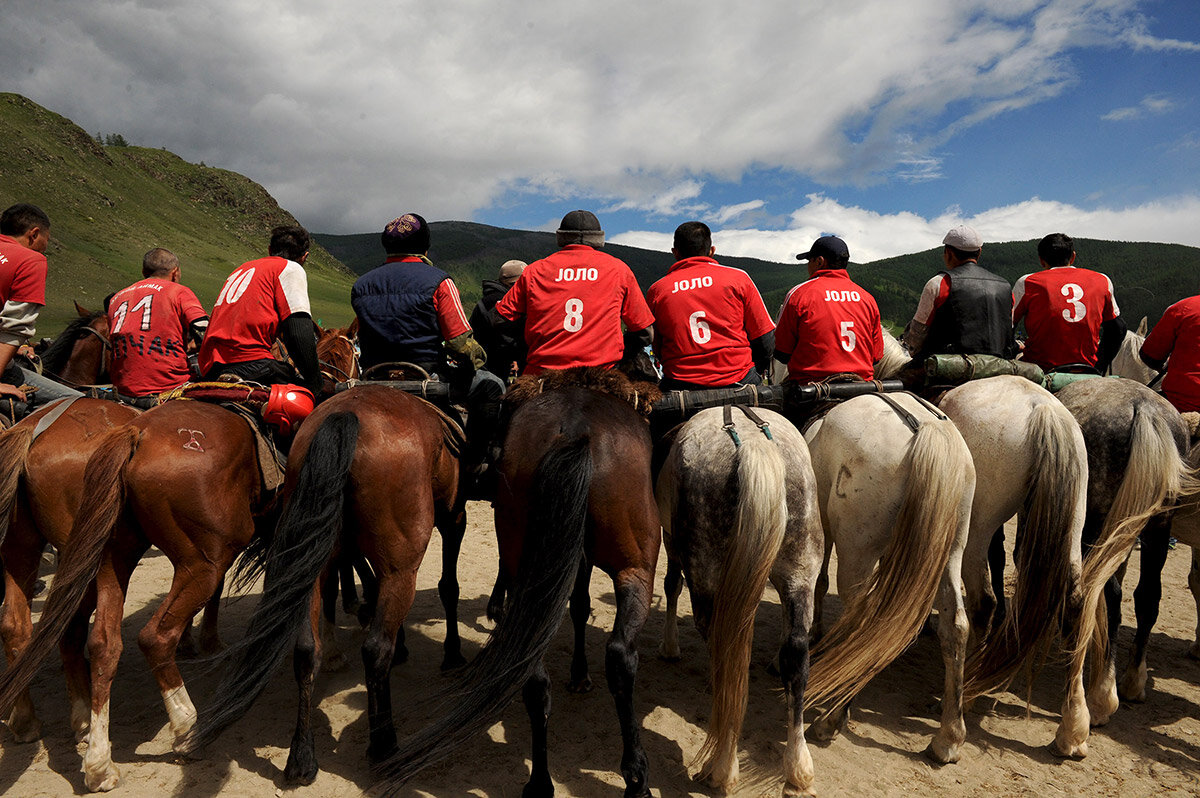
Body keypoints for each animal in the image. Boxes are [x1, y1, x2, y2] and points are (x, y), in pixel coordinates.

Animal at [183, 384, 468, 782]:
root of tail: (346, 415)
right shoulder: (454, 518)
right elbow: (448, 587)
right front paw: (452, 653)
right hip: (402, 566)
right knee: (375, 648)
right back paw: (383, 746)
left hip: (314, 561)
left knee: (305, 649)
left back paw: (301, 757)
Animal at [374, 369, 662, 796]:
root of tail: (575, 430)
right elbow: (580, 606)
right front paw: (580, 675)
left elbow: (577, 606)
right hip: (637, 568)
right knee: (621, 656)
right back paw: (636, 776)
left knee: (536, 673)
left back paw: (541, 781)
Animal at [657, 408, 825, 792]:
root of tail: (750, 443)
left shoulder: (671, 541)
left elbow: (671, 585)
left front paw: (669, 647)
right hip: (802, 568)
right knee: (796, 656)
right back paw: (798, 766)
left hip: (707, 575)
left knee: (728, 653)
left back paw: (722, 766)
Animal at [796, 388, 974, 763]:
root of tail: (925, 429)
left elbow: (818, 580)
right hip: (950, 550)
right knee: (956, 626)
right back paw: (948, 737)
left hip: (858, 552)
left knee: (863, 624)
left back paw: (831, 719)